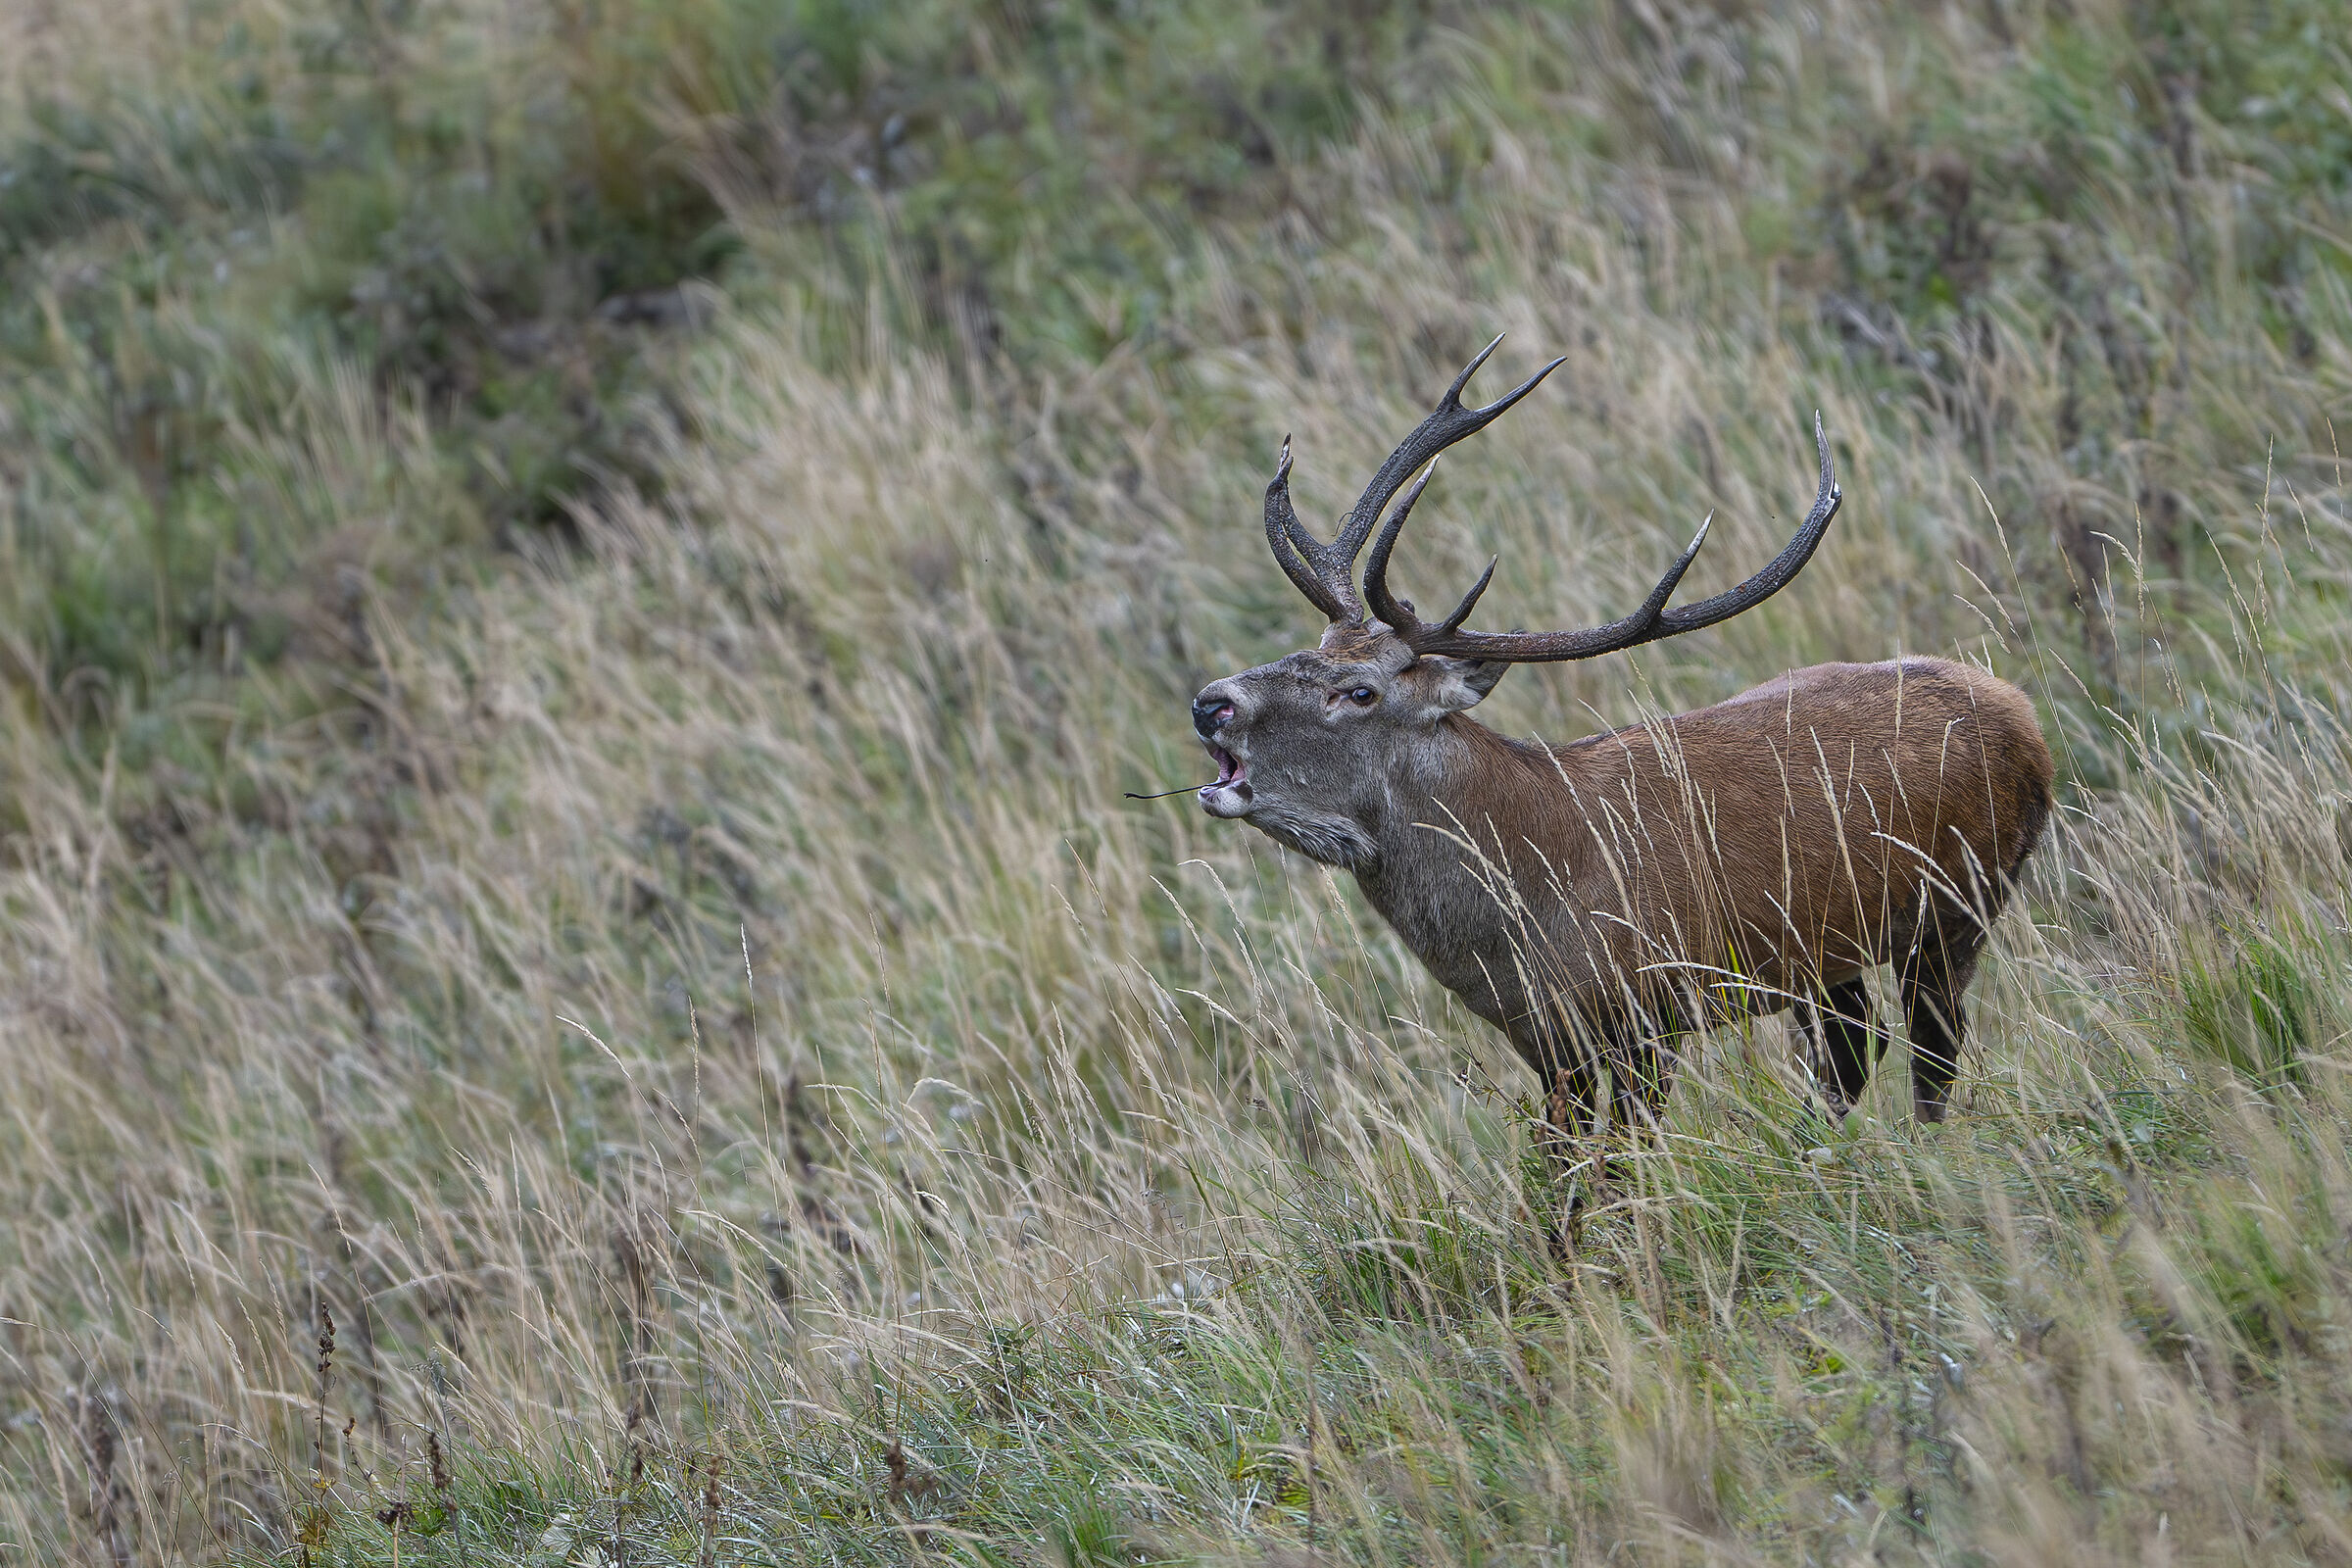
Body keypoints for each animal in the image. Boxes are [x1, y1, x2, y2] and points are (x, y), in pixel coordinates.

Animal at [1190, 339, 2053, 1183]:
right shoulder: (1546, 1042)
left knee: (1932, 1058)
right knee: (1851, 1047)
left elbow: (1619, 1172)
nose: (1210, 702)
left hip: (1959, 906)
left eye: (1360, 691)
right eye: (1306, 649)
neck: (1532, 898)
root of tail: (2022, 716)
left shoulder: (1652, 1012)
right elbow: (1559, 1182)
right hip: (1826, 949)